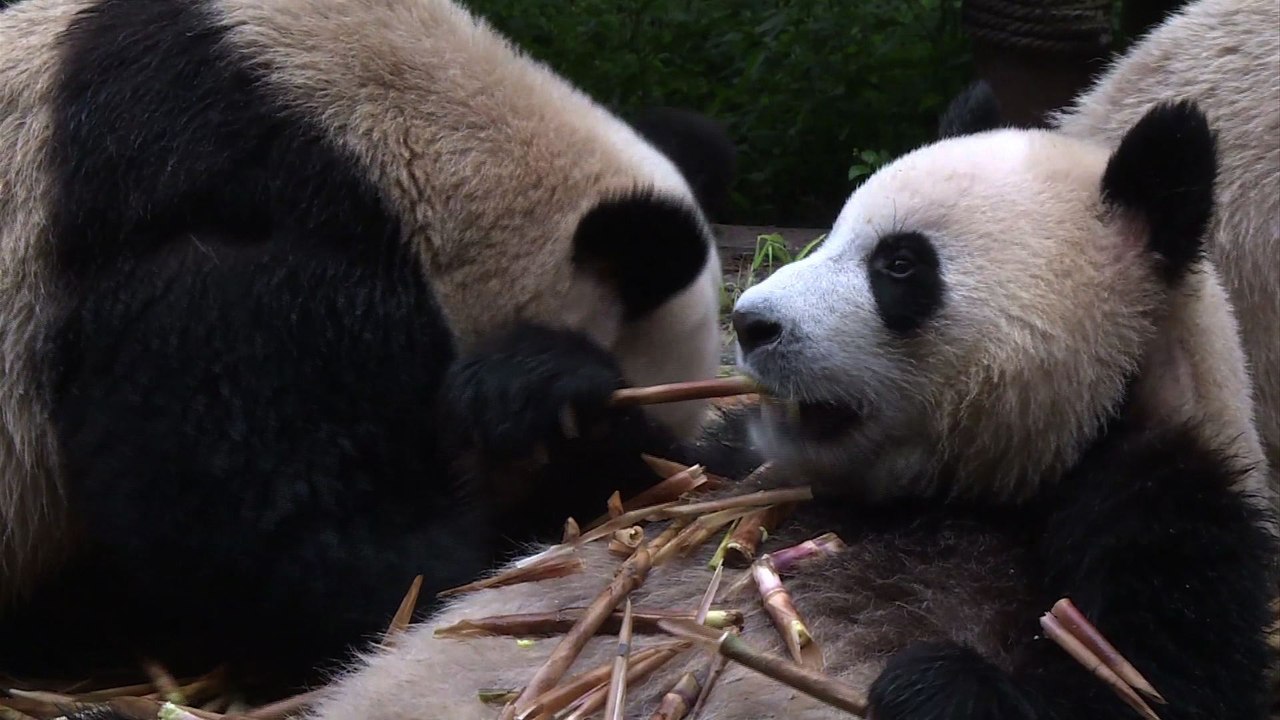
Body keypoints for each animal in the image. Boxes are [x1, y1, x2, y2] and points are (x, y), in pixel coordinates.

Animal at [300, 100, 1278, 719]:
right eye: (832, 231)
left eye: (898, 264)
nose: (752, 321)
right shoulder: (738, 466)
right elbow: (560, 520)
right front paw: (532, 391)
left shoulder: (1165, 510)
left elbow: (1158, 684)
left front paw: (933, 687)